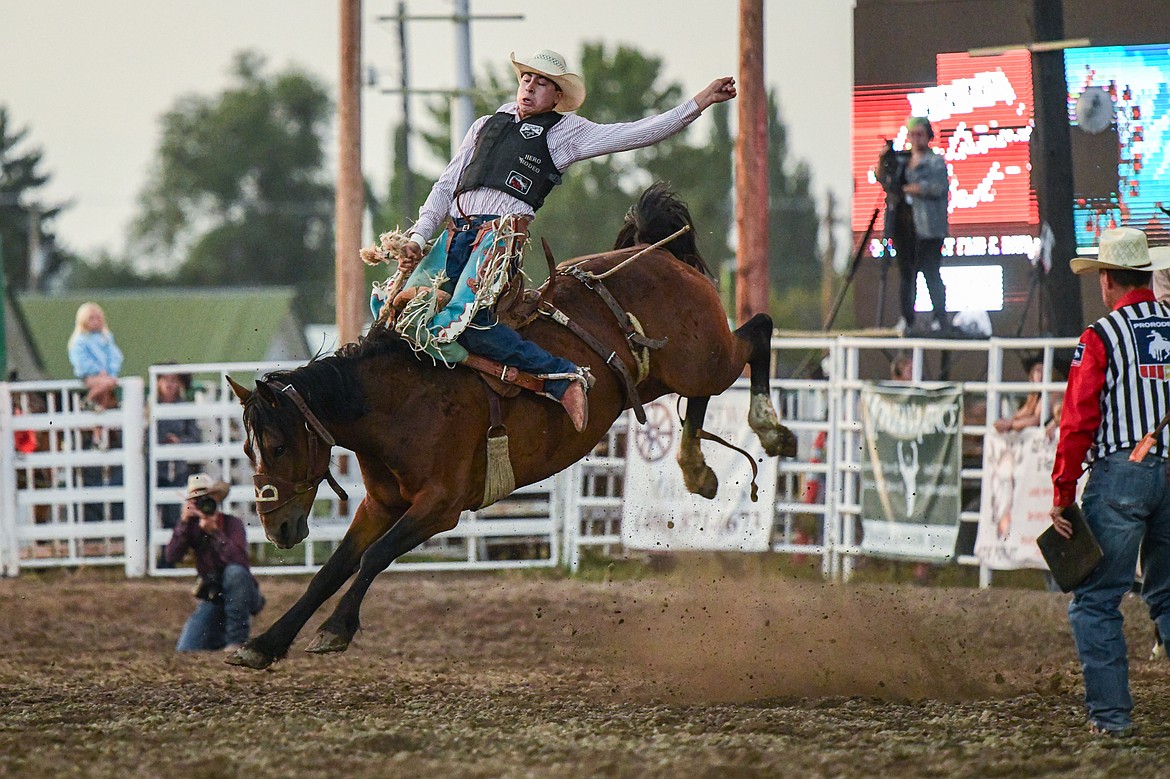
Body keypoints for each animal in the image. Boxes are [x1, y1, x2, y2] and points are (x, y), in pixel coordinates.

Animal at [225, 183, 795, 669]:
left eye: (276, 446)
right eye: (249, 451)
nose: (276, 529)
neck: (398, 400)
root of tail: (662, 256)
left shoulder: (440, 505)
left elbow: (374, 558)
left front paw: (335, 630)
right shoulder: (380, 504)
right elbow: (331, 570)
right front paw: (264, 643)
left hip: (707, 356)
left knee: (759, 332)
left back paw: (768, 428)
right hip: (672, 373)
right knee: (702, 394)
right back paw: (697, 467)